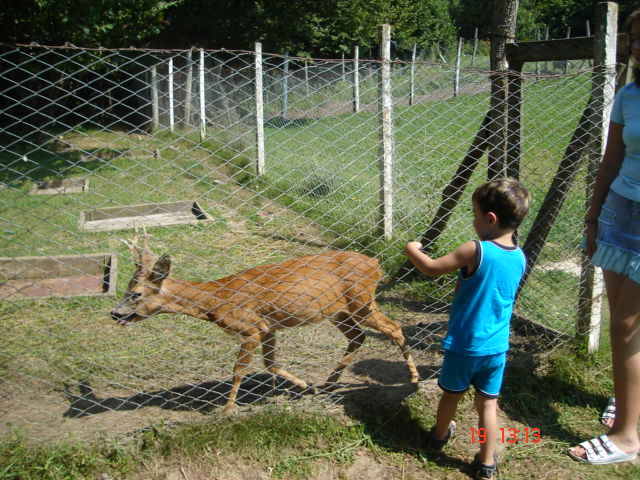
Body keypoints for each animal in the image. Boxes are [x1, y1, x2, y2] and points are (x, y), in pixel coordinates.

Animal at [110, 232, 420, 412]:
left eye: (136, 293)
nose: (114, 313)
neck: (215, 302)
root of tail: (376, 264)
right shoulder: (268, 327)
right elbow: (271, 364)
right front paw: (304, 385)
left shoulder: (250, 328)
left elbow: (238, 370)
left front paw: (227, 410)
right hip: (339, 311)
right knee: (358, 337)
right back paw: (327, 384)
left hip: (361, 301)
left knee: (393, 327)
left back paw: (414, 377)